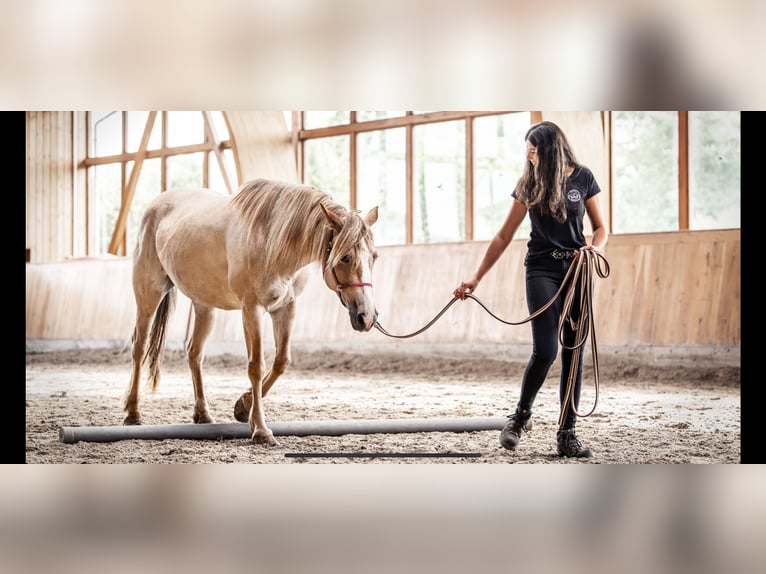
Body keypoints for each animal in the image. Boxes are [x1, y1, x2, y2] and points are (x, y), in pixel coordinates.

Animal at [122, 178, 380, 448]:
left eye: (374, 256)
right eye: (345, 257)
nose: (367, 317)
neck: (273, 241)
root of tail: (158, 204)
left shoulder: (286, 308)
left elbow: (281, 361)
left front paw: (243, 408)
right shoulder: (252, 309)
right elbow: (256, 366)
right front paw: (261, 430)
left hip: (204, 305)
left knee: (194, 353)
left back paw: (203, 414)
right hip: (148, 295)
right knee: (139, 348)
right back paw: (133, 413)